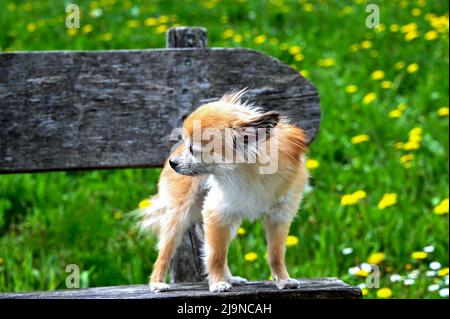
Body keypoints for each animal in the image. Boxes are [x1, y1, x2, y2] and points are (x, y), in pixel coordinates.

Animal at [141, 89, 310, 292]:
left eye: (193, 150)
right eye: (186, 145)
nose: (173, 162)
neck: (249, 172)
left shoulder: (279, 217)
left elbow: (275, 254)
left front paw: (283, 279)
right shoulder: (215, 212)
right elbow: (216, 256)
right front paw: (217, 282)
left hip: (229, 223)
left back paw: (231, 278)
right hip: (179, 217)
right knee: (166, 252)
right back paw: (157, 282)